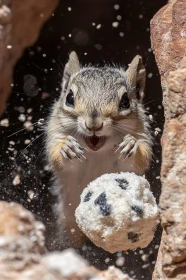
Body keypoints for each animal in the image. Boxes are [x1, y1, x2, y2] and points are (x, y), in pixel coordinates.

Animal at [45, 51, 153, 246]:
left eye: (125, 101)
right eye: (69, 98)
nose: (93, 124)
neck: (97, 152)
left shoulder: (142, 137)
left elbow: (138, 161)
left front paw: (131, 144)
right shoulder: (55, 134)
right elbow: (59, 160)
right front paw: (67, 147)